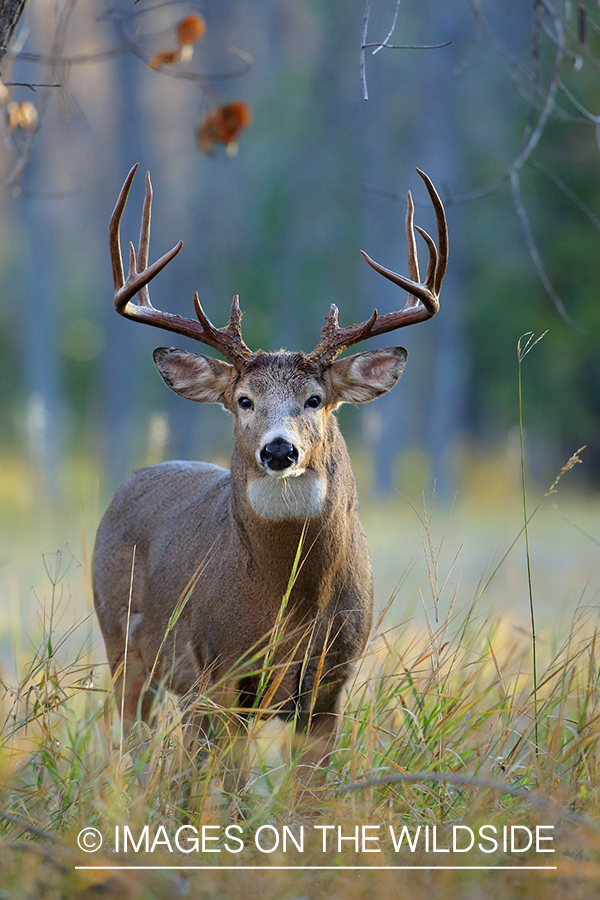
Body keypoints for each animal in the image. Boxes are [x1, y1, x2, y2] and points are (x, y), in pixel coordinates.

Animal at [92, 162, 446, 788]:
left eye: (315, 399)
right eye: (243, 400)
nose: (279, 450)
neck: (289, 605)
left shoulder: (330, 684)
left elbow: (311, 792)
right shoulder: (216, 672)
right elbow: (220, 788)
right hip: (124, 643)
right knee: (135, 743)